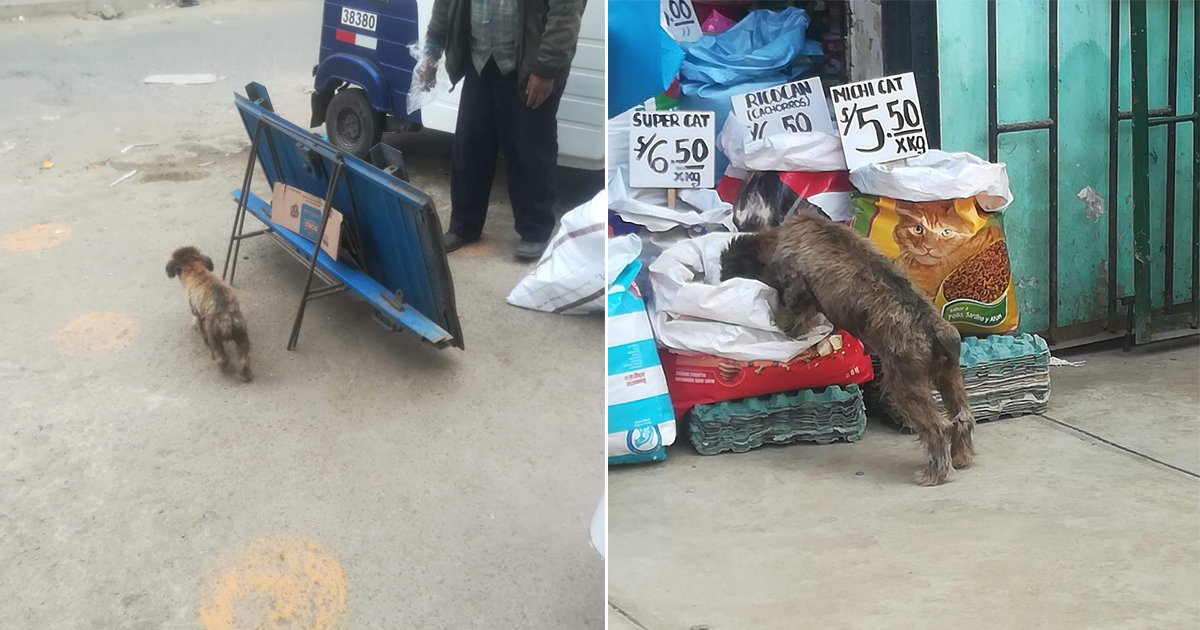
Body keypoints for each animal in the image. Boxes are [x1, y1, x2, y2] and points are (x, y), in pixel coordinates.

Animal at [166, 246, 253, 384]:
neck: (196, 270)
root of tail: (226, 317)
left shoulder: (198, 314)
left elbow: (200, 327)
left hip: (214, 337)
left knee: (222, 357)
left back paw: (219, 362)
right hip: (242, 337)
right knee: (244, 358)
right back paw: (245, 375)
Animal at [720, 201, 974, 487]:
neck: (776, 239)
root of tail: (935, 328)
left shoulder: (798, 290)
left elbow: (794, 315)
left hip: (905, 386)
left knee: (938, 427)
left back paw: (935, 473)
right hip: (948, 377)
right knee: (963, 418)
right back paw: (962, 457)